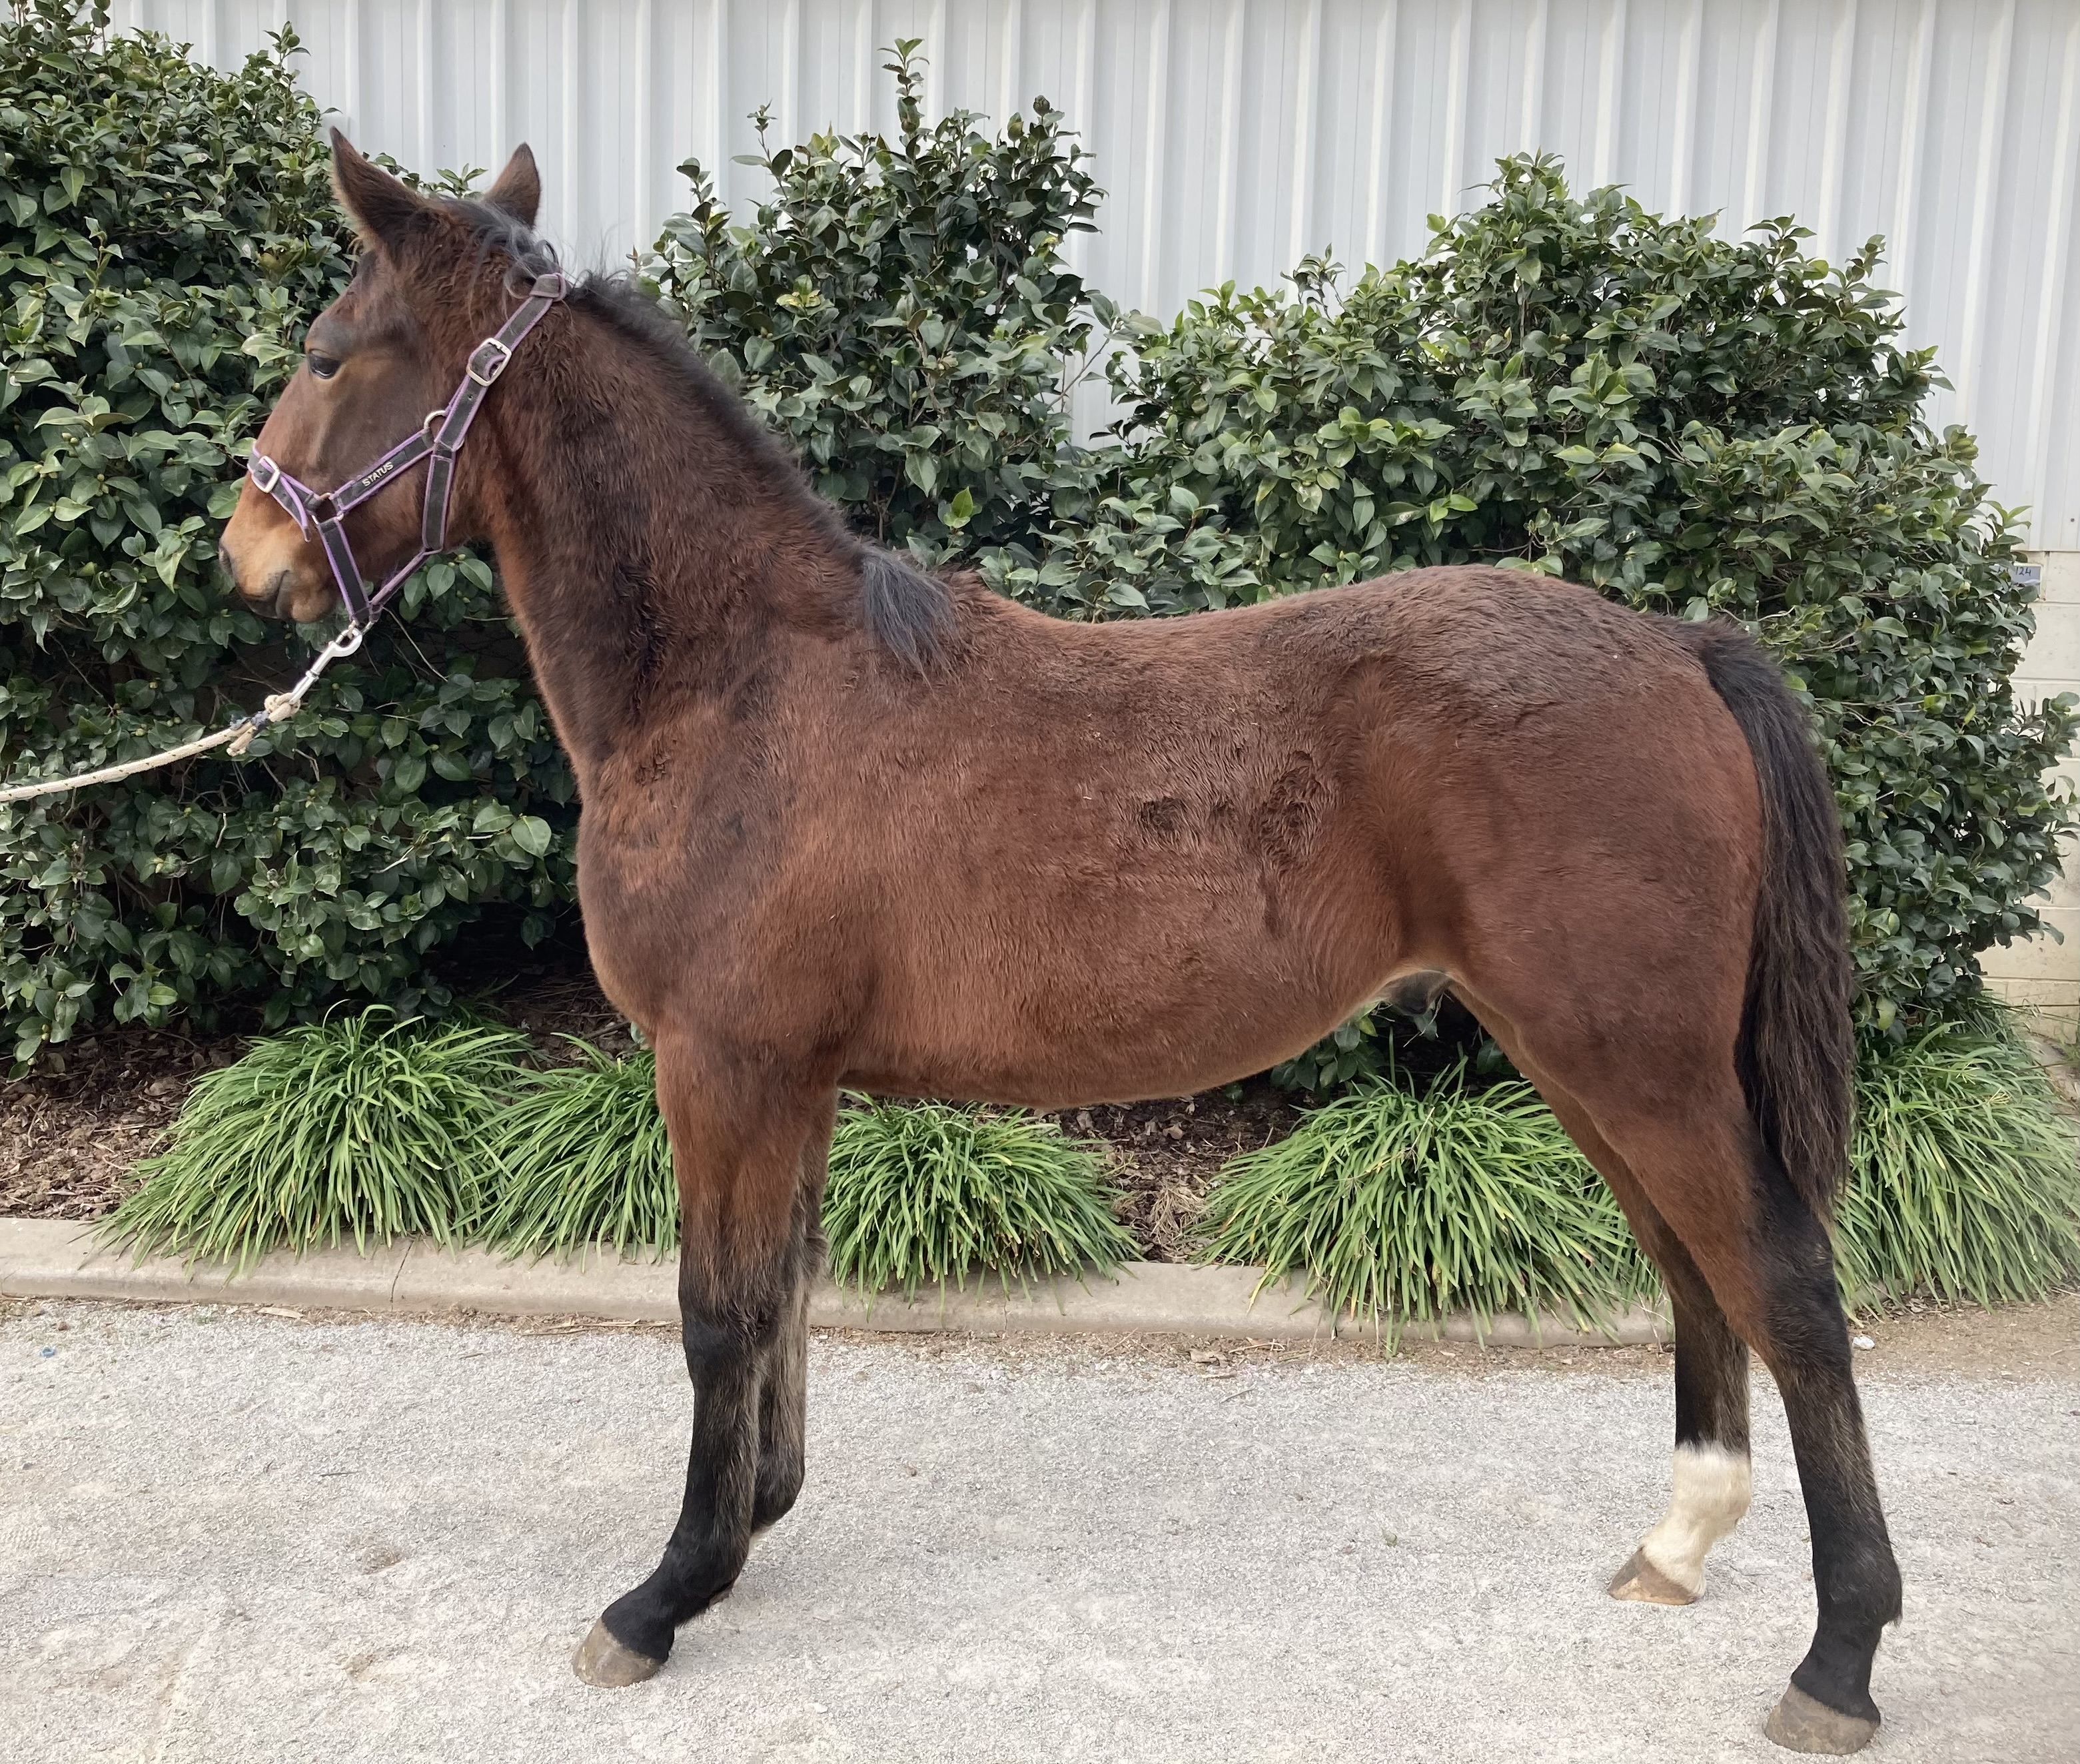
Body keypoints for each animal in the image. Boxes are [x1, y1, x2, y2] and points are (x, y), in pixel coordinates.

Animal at [219, 136, 1901, 1755]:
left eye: (326, 351)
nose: (244, 550)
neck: (739, 683)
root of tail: (1680, 646)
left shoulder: (722, 1064)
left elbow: (714, 1313)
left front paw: (663, 1596)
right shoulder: (795, 1079)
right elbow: (784, 1295)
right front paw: (752, 1526)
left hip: (1636, 1061)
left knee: (1786, 1284)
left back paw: (1838, 1658)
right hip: (1586, 1058)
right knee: (1693, 1269)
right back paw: (1677, 1543)